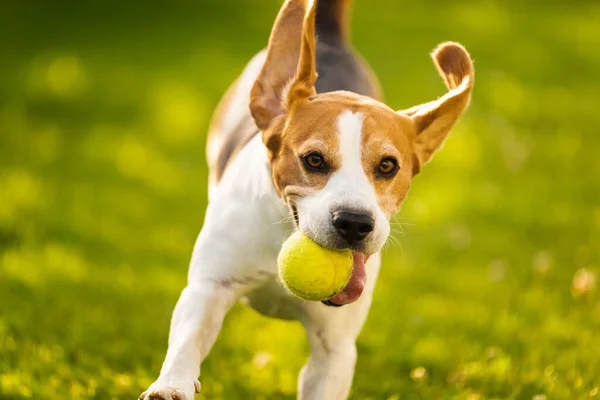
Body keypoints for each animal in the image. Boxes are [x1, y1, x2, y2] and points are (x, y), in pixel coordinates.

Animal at [141, 0, 474, 398]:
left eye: (387, 166)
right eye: (314, 160)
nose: (354, 222)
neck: (285, 232)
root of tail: (327, 37)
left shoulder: (334, 351)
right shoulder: (209, 287)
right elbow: (188, 337)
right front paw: (171, 385)